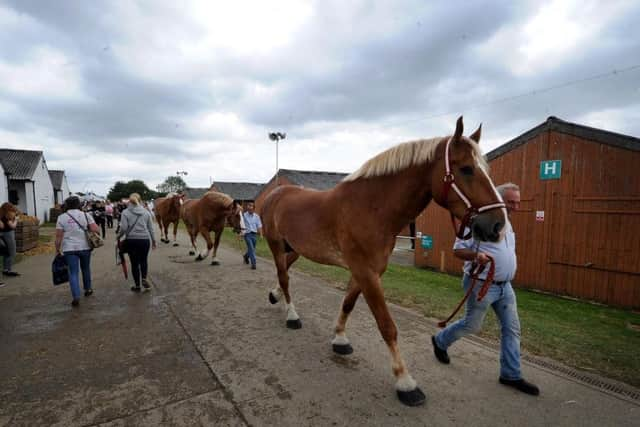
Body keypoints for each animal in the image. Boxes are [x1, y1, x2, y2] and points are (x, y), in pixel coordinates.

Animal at [262, 118, 508, 408]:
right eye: (466, 168)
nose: (497, 226)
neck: (372, 208)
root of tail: (275, 194)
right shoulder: (366, 273)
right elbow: (387, 326)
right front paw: (405, 382)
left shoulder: (367, 272)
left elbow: (348, 304)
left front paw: (340, 339)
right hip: (276, 245)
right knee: (285, 276)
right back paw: (291, 315)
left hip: (295, 248)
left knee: (285, 273)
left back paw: (275, 295)